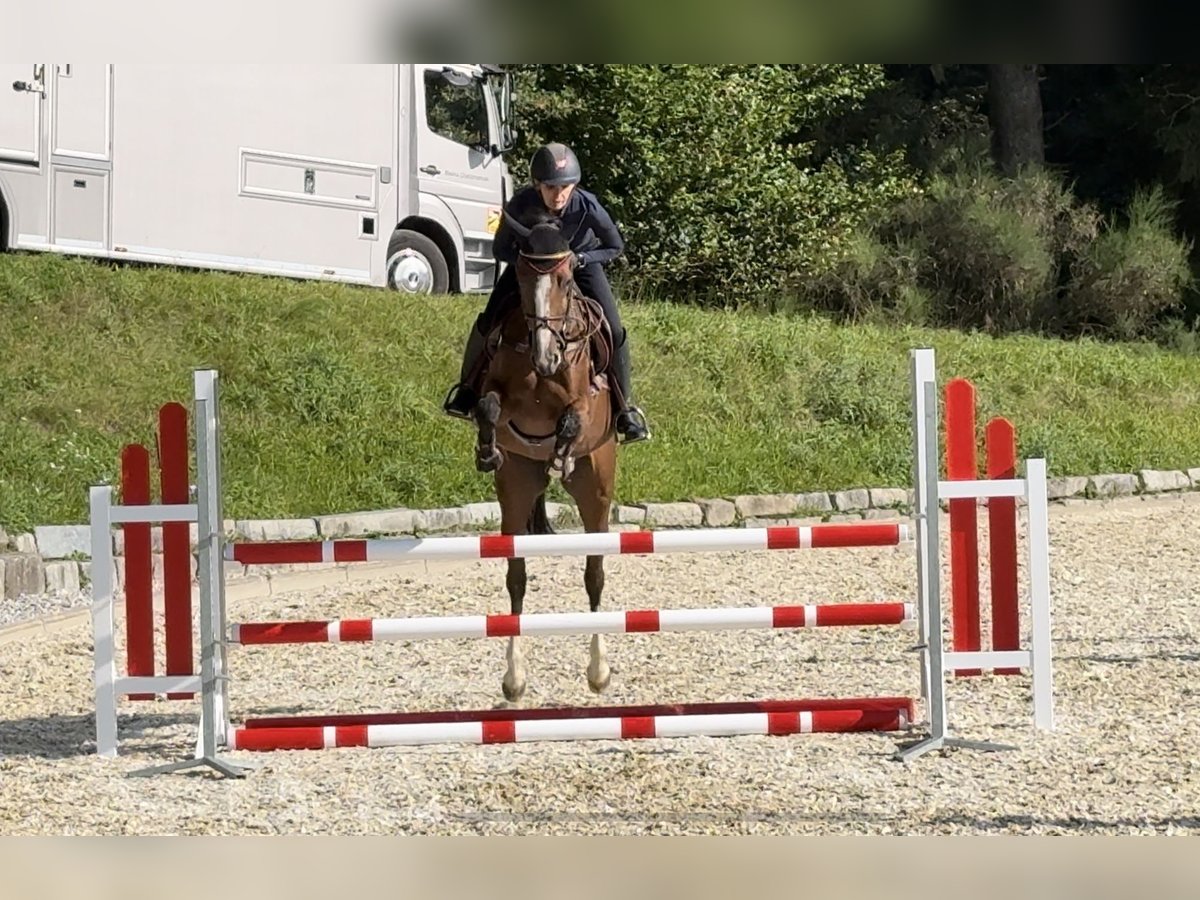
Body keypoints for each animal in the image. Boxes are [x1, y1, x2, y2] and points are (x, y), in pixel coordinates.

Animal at [468, 210, 619, 705]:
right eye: (519, 275)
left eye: (567, 277)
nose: (546, 356)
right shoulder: (496, 391)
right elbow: (488, 406)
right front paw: (486, 451)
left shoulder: (585, 403)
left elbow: (572, 420)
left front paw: (561, 454)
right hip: (516, 490)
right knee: (516, 576)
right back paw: (514, 679)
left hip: (597, 490)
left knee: (594, 574)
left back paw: (598, 671)